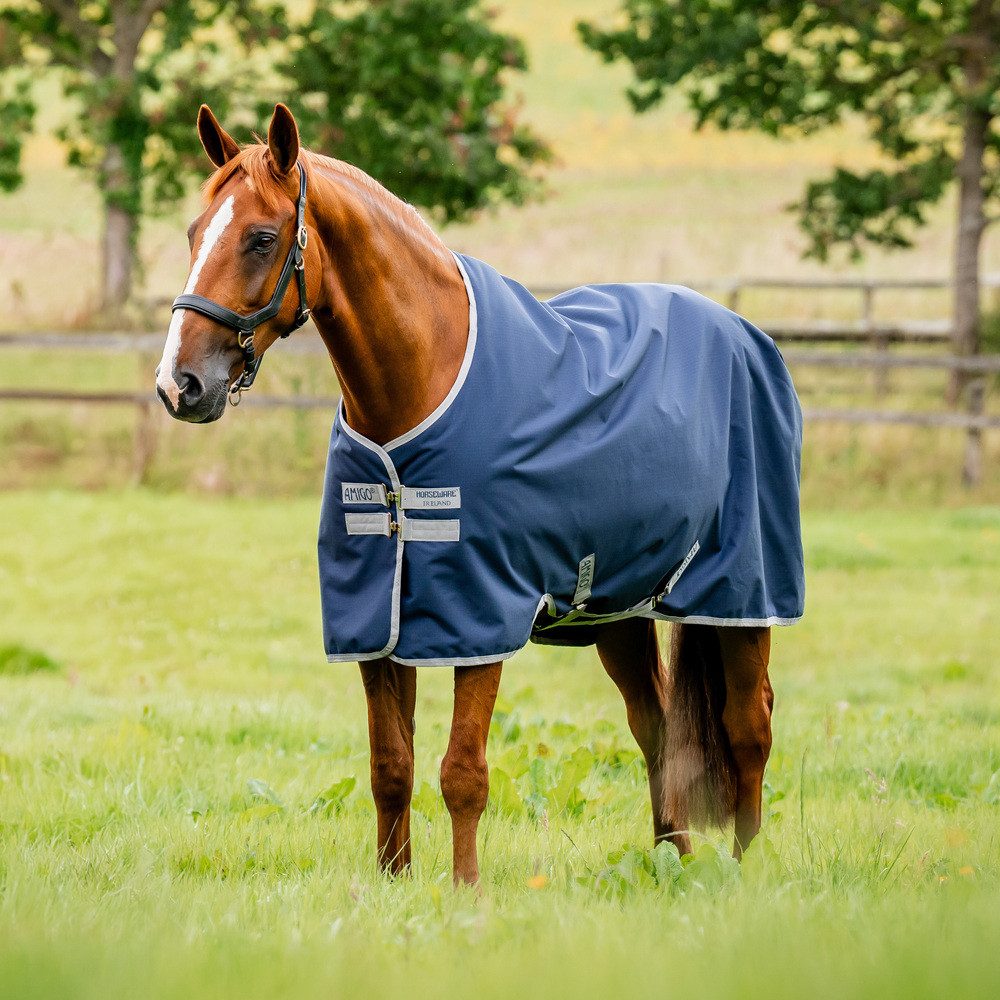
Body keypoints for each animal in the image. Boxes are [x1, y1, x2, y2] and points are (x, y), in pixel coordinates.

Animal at [156, 103, 802, 886]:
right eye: (195, 233)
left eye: (260, 237)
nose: (180, 385)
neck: (421, 386)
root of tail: (745, 335)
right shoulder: (376, 619)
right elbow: (390, 766)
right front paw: (393, 883)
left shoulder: (479, 612)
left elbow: (462, 771)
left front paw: (466, 892)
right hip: (618, 607)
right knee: (655, 727)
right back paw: (669, 860)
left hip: (742, 592)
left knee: (749, 726)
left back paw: (746, 868)